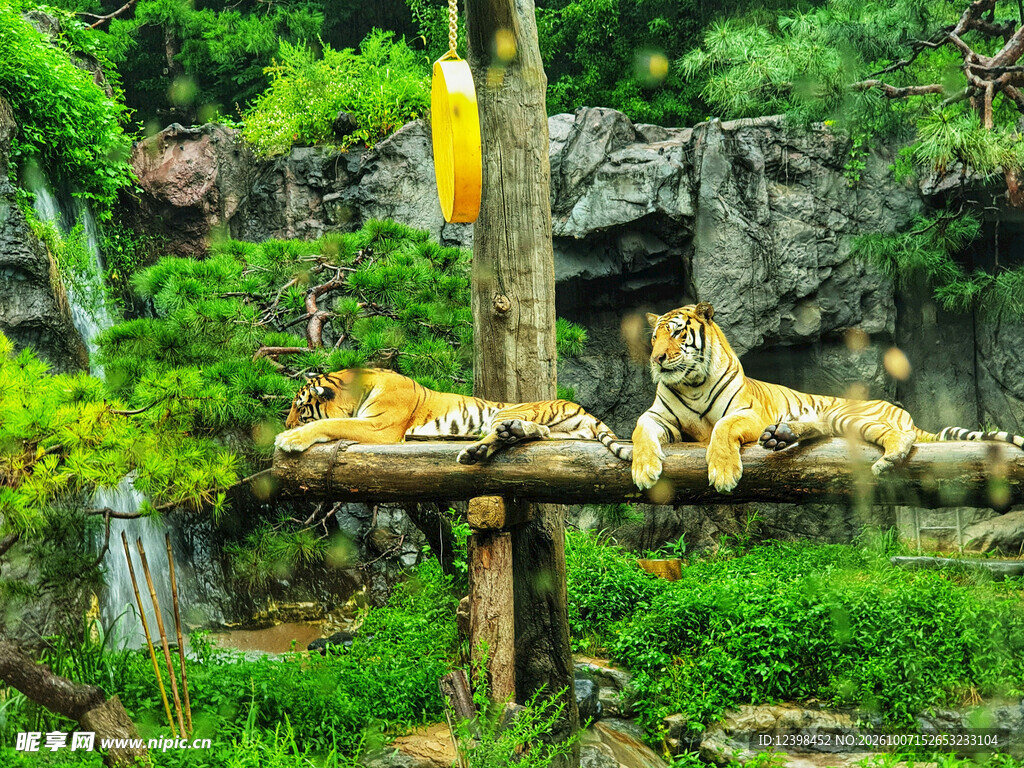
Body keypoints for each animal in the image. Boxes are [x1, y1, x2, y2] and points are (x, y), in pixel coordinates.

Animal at [274, 367, 633, 465]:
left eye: (300, 408)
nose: (287, 423)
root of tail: (582, 408)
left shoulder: (381, 427)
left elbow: (331, 422)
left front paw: (289, 438)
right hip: (552, 429)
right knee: (537, 433)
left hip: (507, 409)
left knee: (506, 432)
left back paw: (475, 450)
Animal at [631, 301, 1024, 494]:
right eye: (654, 337)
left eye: (677, 333)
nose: (656, 359)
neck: (691, 382)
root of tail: (902, 410)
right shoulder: (658, 417)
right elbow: (639, 429)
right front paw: (644, 470)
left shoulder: (748, 413)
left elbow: (722, 428)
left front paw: (724, 472)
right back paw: (781, 436)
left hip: (850, 416)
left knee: (902, 437)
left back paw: (887, 458)